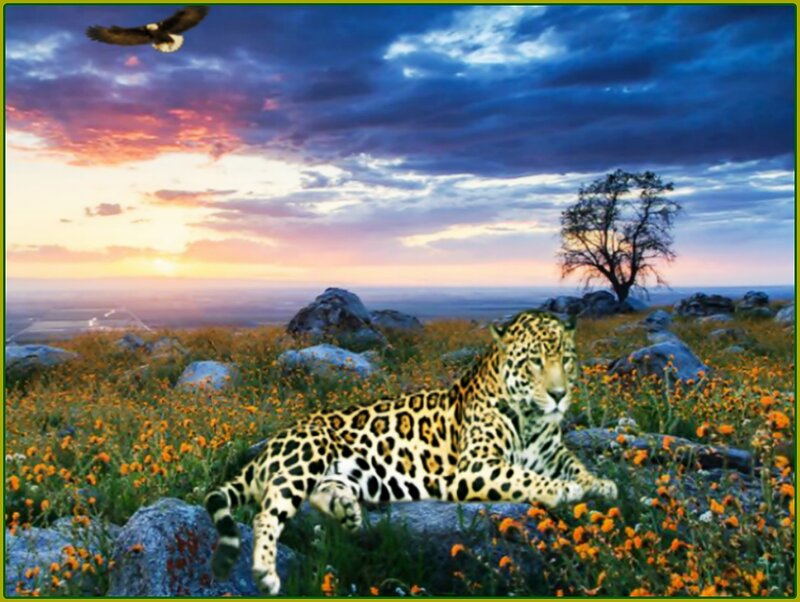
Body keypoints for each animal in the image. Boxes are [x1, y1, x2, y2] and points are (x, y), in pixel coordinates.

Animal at [204, 309, 617, 594]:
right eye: (534, 362)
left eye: (566, 359)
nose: (559, 395)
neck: (531, 419)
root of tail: (273, 443)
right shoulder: (475, 468)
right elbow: (524, 477)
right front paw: (562, 490)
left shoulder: (553, 452)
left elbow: (576, 465)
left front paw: (601, 484)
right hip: (310, 451)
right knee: (267, 513)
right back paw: (266, 574)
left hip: (355, 474)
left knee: (321, 493)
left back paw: (348, 512)